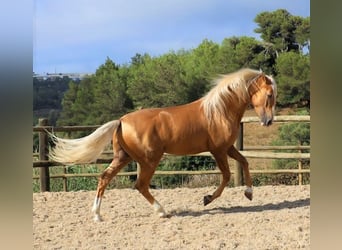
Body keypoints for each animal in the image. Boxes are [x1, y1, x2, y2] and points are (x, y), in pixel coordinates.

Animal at [49, 67, 276, 221]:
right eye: (269, 94)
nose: (268, 121)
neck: (219, 111)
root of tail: (121, 121)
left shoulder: (228, 148)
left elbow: (245, 162)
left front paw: (249, 193)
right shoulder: (218, 150)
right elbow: (227, 176)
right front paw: (207, 198)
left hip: (124, 158)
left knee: (105, 178)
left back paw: (97, 215)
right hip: (149, 160)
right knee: (140, 185)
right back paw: (162, 211)